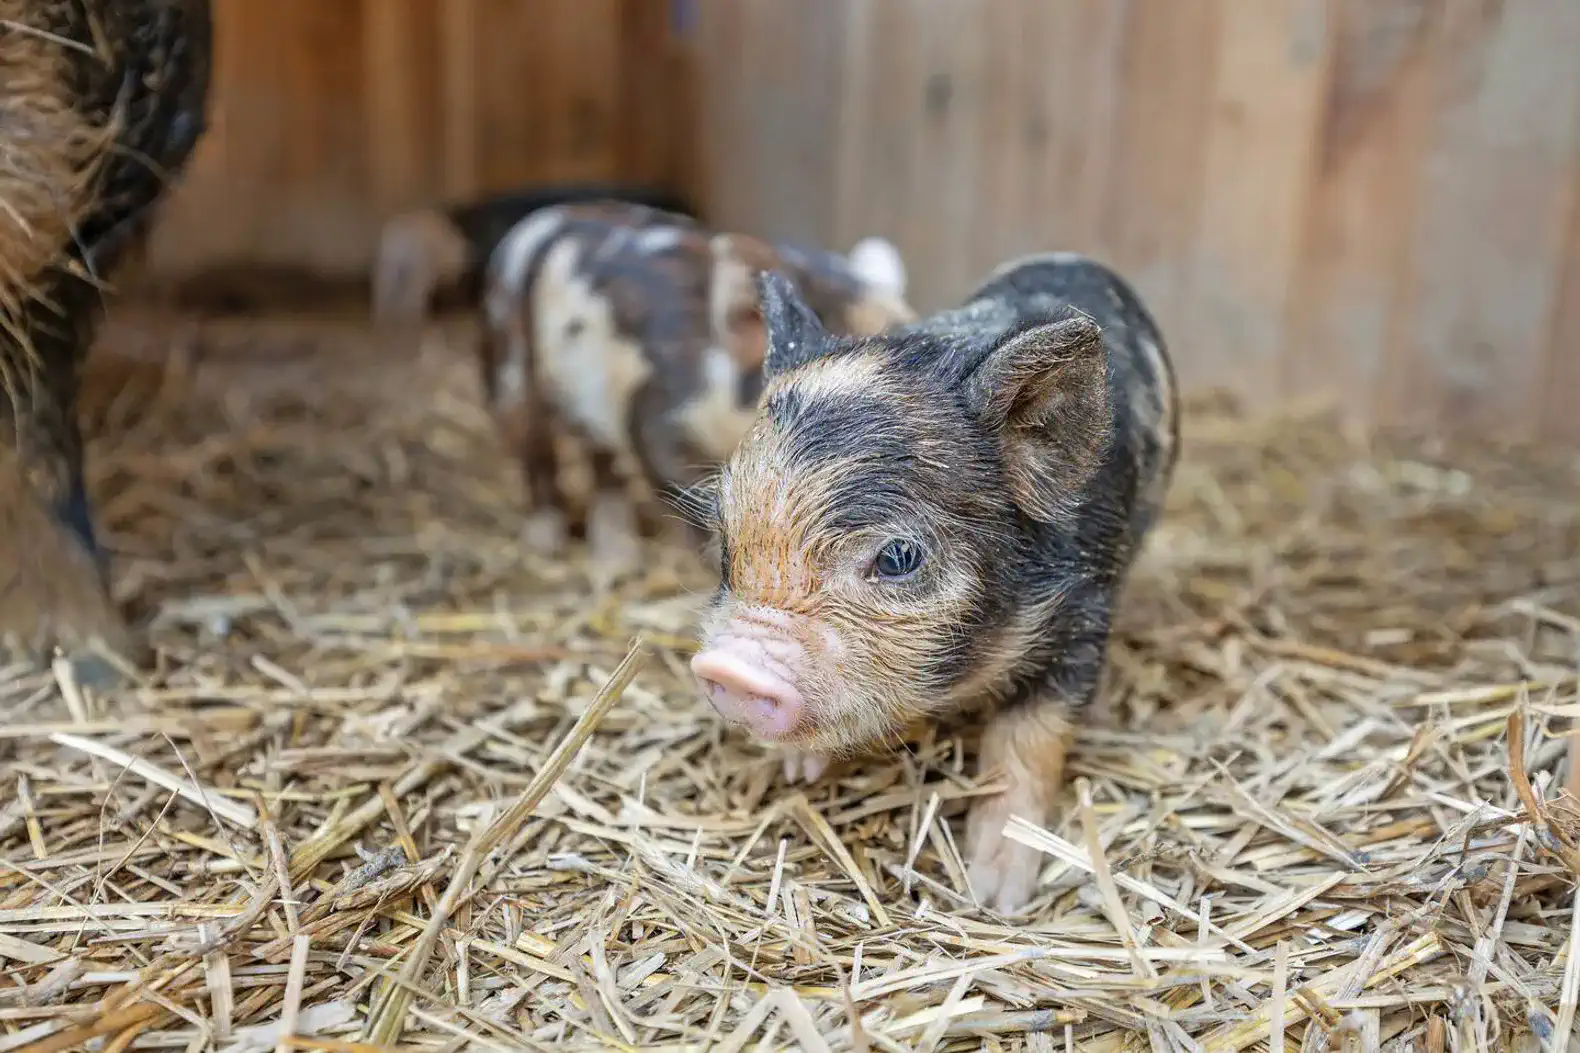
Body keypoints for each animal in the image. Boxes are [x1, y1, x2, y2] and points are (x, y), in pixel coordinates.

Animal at [479, 201, 916, 579]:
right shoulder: (656, 419)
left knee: (601, 463)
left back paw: (617, 560)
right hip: (511, 368)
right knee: (535, 451)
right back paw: (547, 544)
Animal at [688, 251, 1179, 912]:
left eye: (899, 556)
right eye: (723, 539)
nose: (730, 668)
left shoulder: (1083, 612)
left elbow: (1025, 746)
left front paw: (995, 895)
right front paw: (795, 770)